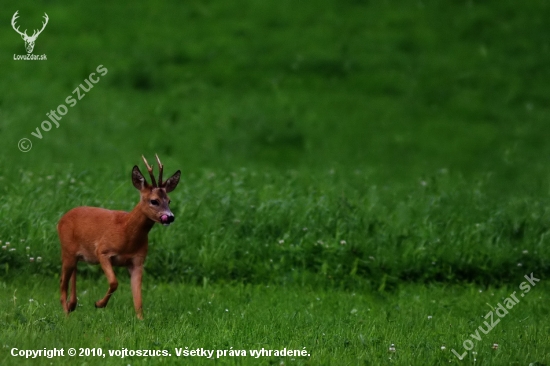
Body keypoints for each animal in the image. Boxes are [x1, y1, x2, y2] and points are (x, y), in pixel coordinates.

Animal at [59, 156, 182, 318]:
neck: (126, 233)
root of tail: (60, 220)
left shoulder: (137, 260)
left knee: (72, 273)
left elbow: (138, 299)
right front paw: (99, 304)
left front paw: (141, 320)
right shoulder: (102, 251)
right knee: (62, 282)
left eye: (169, 201)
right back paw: (66, 314)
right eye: (154, 200)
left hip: (75, 255)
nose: (170, 217)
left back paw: (72, 305)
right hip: (67, 249)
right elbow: (114, 282)